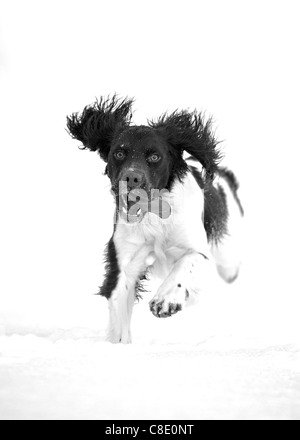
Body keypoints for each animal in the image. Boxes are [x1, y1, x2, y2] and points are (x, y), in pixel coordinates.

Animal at [66, 95, 244, 344]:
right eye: (119, 153)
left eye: (154, 156)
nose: (132, 178)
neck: (154, 216)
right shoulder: (124, 259)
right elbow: (119, 306)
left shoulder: (198, 250)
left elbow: (186, 263)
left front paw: (166, 300)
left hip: (227, 257)